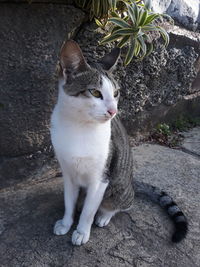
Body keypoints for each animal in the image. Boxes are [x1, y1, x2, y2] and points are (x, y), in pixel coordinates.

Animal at [50, 38, 188, 246]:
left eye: (115, 93)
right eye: (95, 92)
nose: (113, 111)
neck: (79, 126)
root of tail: (132, 181)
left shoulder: (101, 177)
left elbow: (89, 211)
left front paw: (82, 231)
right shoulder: (68, 172)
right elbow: (69, 202)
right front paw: (66, 223)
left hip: (118, 188)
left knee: (121, 204)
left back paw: (104, 216)